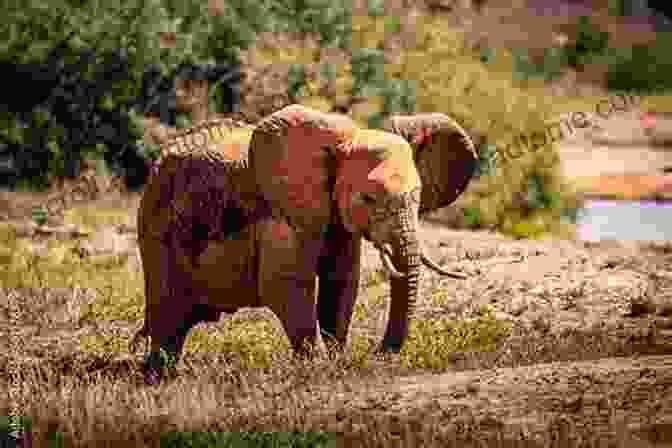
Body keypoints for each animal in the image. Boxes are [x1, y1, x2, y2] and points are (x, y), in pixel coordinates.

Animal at [133, 105, 478, 384]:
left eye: (418, 195)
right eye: (368, 198)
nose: (379, 353)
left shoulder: (337, 218)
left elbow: (341, 283)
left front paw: (337, 361)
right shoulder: (282, 213)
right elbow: (285, 285)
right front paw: (319, 367)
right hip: (155, 231)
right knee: (168, 315)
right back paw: (159, 379)